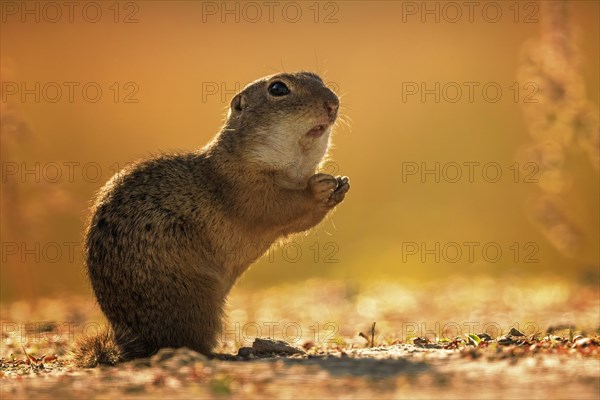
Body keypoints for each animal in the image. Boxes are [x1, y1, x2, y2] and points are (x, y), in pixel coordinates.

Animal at [75, 71, 350, 366]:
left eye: (317, 77)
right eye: (278, 88)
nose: (333, 103)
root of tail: (131, 342)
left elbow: (299, 221)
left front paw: (340, 186)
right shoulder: (246, 190)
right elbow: (280, 207)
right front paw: (319, 187)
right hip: (196, 296)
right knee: (187, 344)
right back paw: (223, 354)